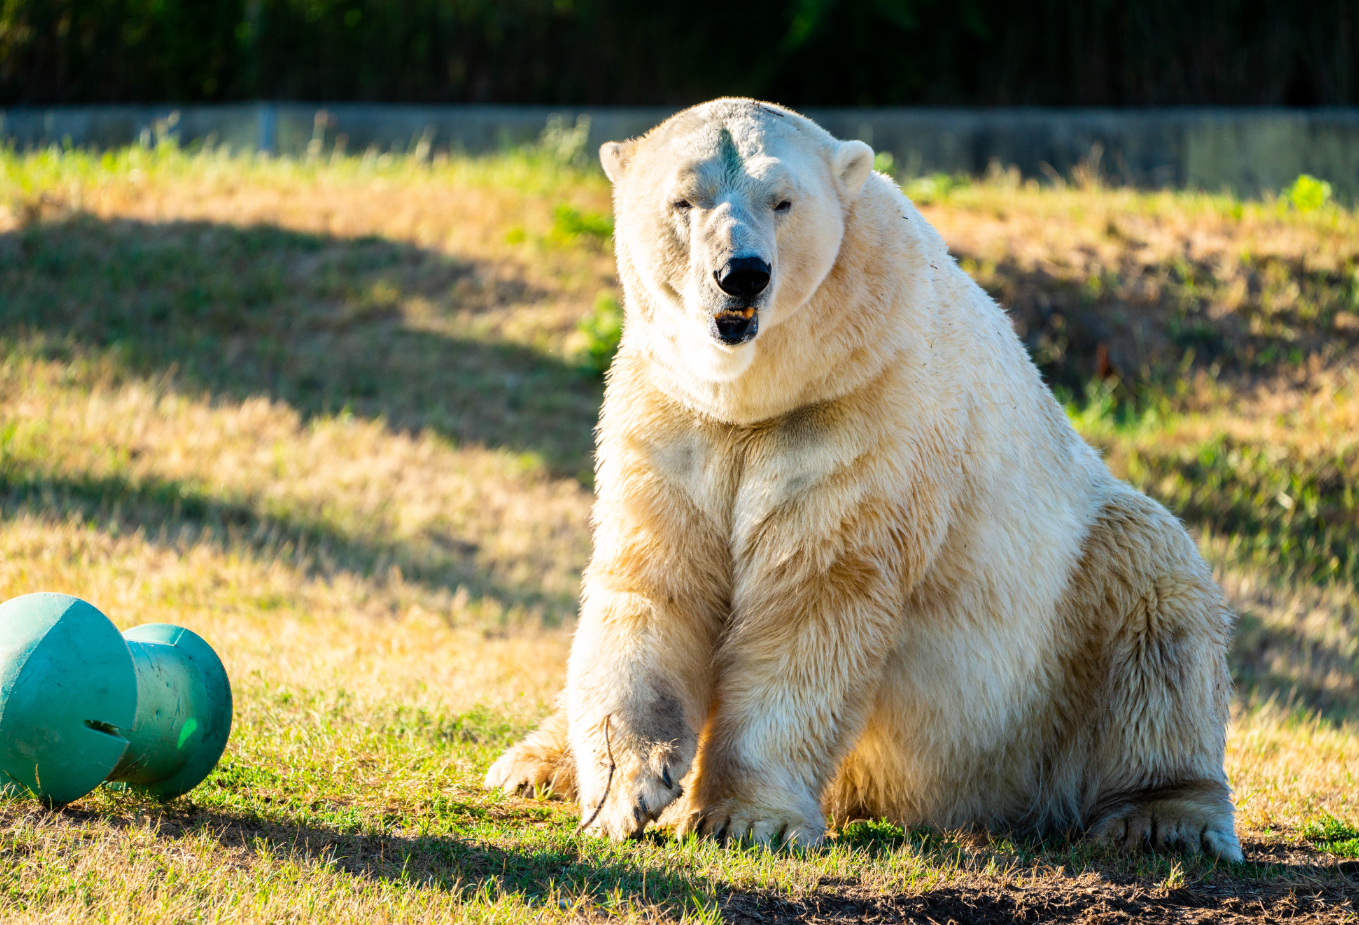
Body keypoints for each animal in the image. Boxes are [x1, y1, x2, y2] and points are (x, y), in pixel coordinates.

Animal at [485, 98, 1242, 861]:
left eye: (782, 200)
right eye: (683, 200)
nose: (741, 273)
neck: (759, 394)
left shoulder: (862, 415)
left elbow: (814, 598)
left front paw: (744, 816)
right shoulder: (672, 416)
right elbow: (655, 579)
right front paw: (625, 788)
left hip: (1069, 602)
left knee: (1154, 605)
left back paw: (1164, 815)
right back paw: (532, 763)